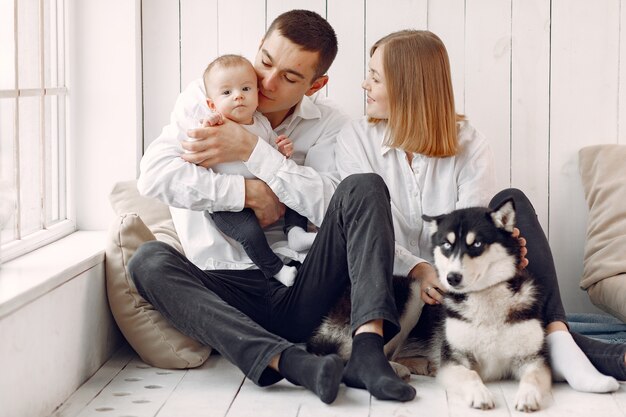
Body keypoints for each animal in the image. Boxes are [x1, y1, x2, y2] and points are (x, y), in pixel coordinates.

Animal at [410, 199, 552, 412]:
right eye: (446, 245)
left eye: (476, 243)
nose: (452, 277)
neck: (486, 296)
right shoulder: (453, 359)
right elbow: (469, 374)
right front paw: (480, 393)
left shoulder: (532, 357)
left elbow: (533, 376)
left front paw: (527, 395)